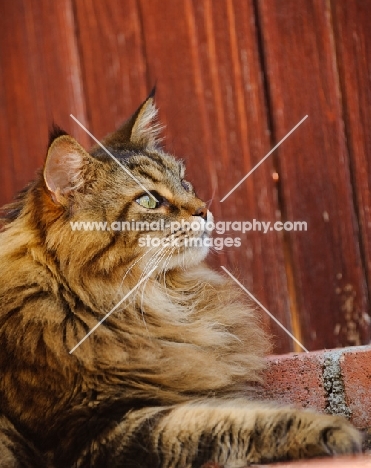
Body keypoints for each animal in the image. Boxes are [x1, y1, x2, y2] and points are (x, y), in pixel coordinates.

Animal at [0, 92, 364, 468]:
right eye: (149, 200)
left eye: (183, 179)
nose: (204, 209)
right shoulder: (88, 431)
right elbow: (225, 422)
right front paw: (332, 431)